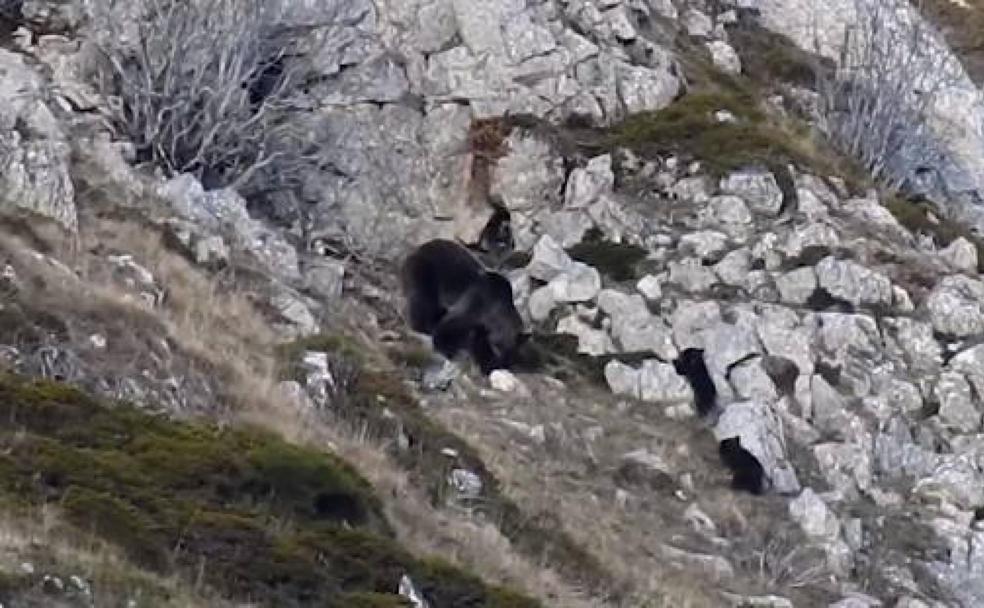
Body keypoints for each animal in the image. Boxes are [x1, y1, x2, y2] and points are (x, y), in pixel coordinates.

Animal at [400, 239, 528, 372]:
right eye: (496, 348)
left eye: (511, 353)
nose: (501, 363)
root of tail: (416, 249)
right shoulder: (475, 304)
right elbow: (449, 326)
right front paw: (449, 350)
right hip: (421, 274)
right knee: (422, 302)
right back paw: (424, 326)